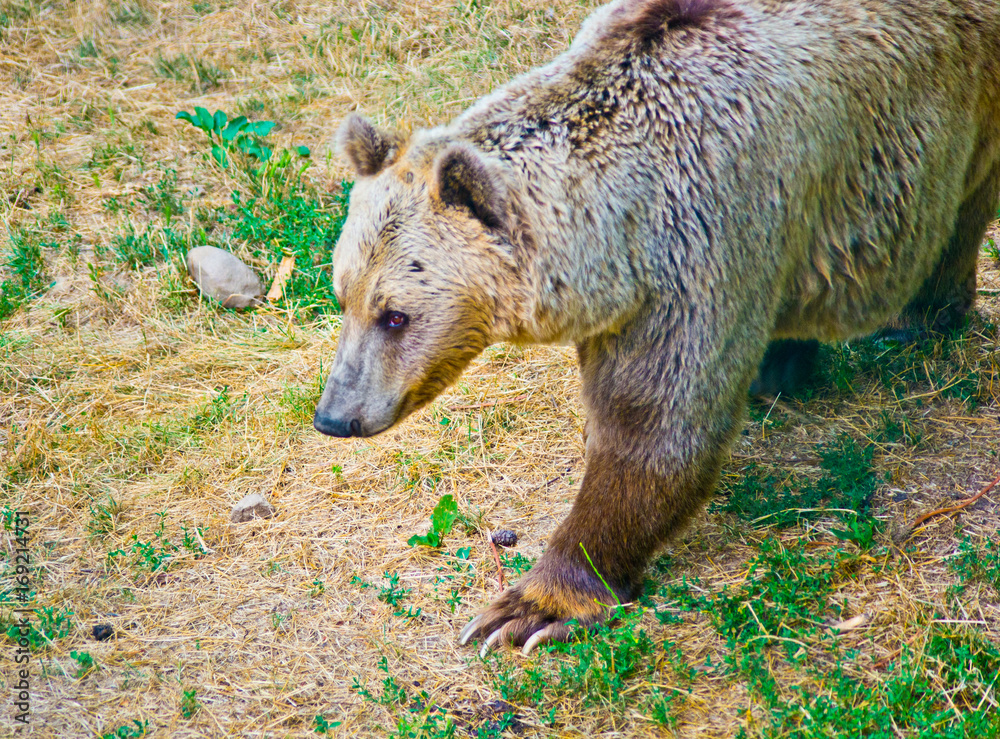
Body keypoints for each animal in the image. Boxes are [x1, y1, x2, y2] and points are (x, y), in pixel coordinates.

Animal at [313, 0, 1000, 655]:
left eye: (396, 314)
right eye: (342, 293)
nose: (335, 416)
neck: (620, 236)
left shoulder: (706, 240)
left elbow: (658, 425)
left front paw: (531, 608)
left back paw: (919, 314)